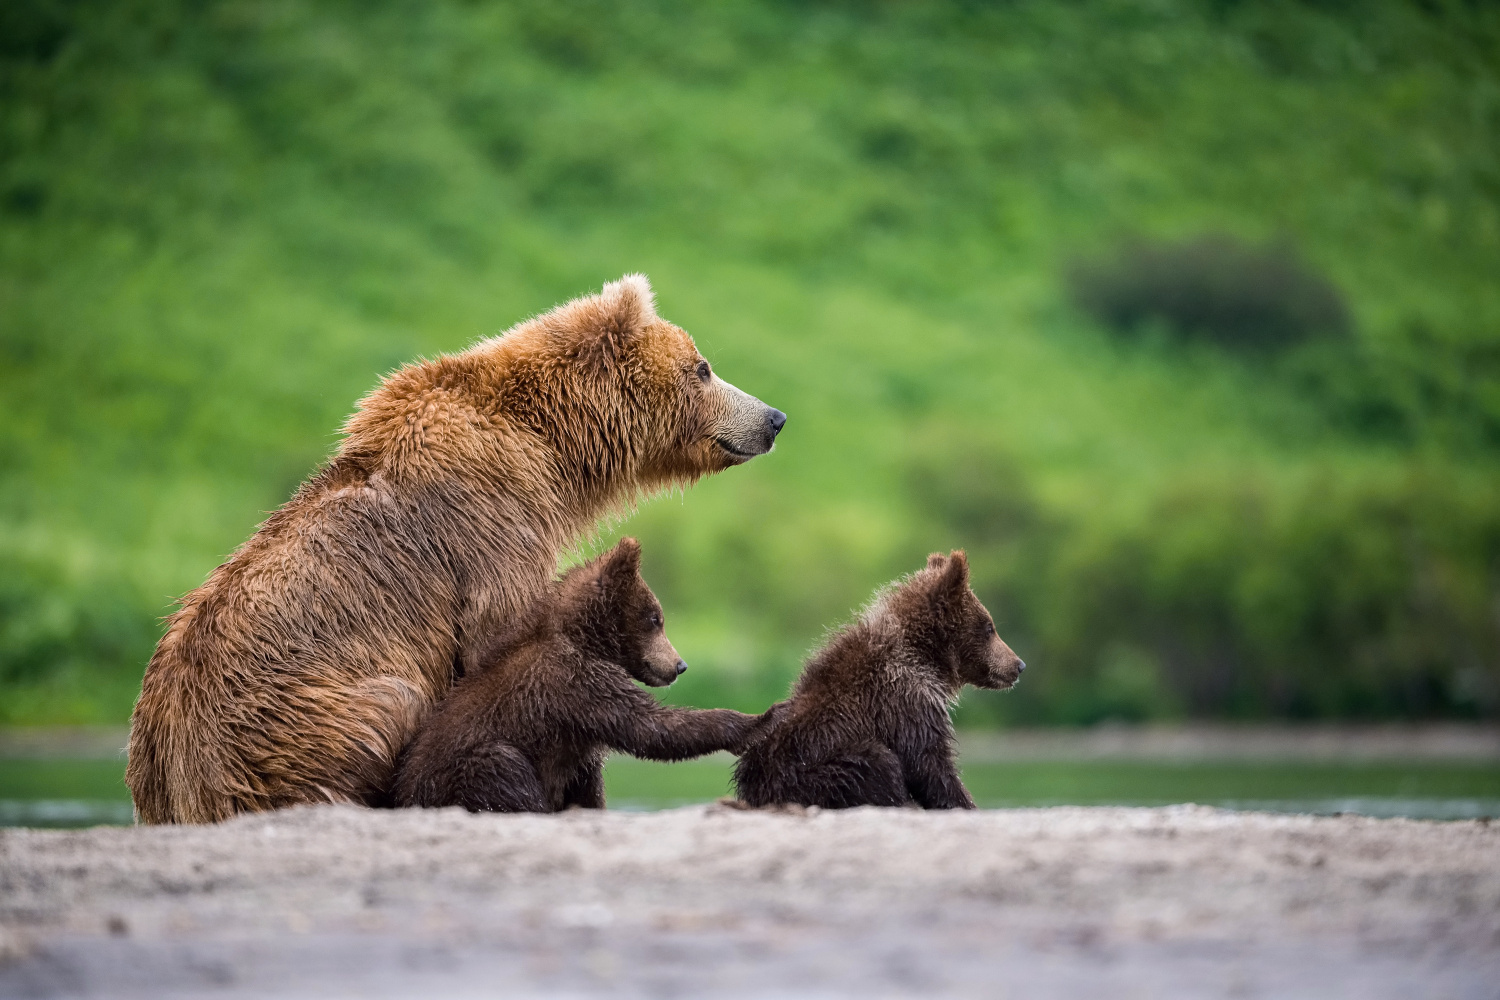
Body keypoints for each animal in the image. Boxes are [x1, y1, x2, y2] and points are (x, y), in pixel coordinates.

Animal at [126, 274, 786, 821]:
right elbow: (504, 644)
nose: (774, 417)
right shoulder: (492, 522)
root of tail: (171, 780)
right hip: (299, 719)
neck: (550, 446)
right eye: (702, 367)